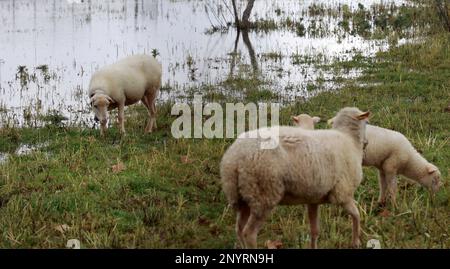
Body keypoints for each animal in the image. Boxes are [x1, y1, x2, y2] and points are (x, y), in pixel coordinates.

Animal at [220, 106, 370, 247]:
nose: (367, 143)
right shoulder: (343, 194)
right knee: (249, 233)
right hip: (262, 195)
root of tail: (234, 158)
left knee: (238, 228)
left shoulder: (313, 199)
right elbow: (357, 215)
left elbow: (314, 230)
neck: (349, 139)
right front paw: (356, 241)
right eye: (367, 123)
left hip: (242, 196)